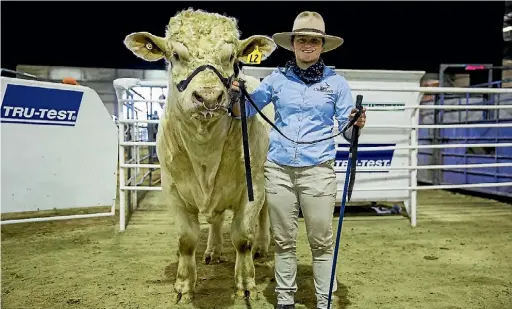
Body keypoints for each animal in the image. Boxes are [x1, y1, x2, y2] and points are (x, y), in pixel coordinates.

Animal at [123, 8, 276, 302]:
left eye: (231, 57)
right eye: (175, 54)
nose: (208, 97)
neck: (205, 151)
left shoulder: (253, 185)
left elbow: (243, 237)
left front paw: (245, 283)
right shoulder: (172, 188)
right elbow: (186, 239)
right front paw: (183, 286)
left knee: (264, 214)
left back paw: (262, 246)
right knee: (215, 220)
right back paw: (213, 250)